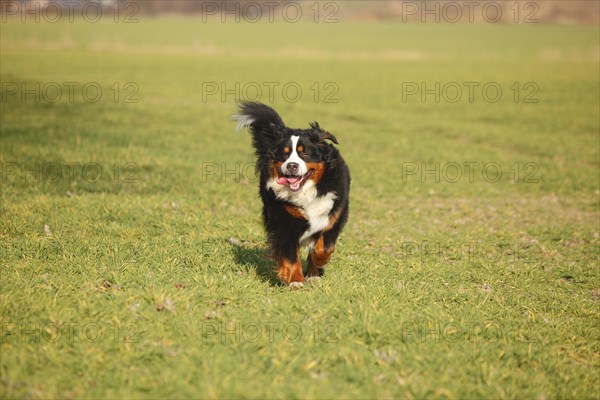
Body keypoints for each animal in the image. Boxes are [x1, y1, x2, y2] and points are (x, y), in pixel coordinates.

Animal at [232, 101, 350, 290]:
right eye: (285, 154)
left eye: (304, 153)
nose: (292, 166)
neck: (306, 191)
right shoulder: (284, 220)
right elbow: (290, 255)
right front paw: (295, 280)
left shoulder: (333, 215)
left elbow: (324, 247)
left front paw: (317, 264)